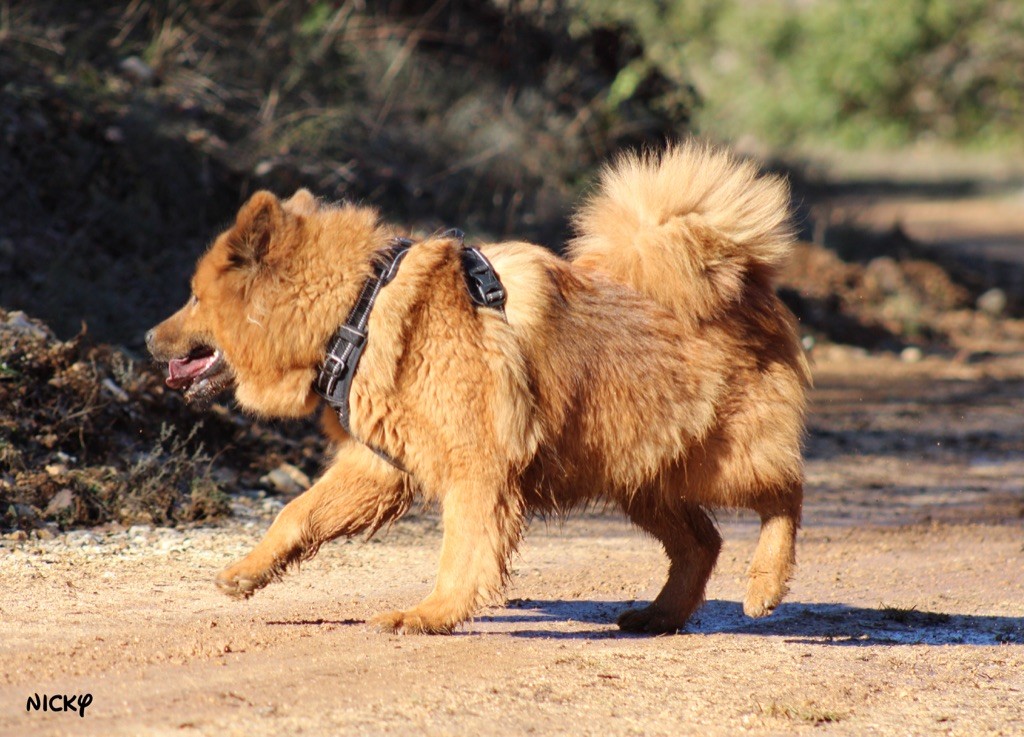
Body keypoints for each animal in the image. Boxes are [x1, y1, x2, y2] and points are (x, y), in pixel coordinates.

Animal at [148, 142, 811, 634]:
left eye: (195, 298)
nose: (149, 337)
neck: (358, 307)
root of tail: (747, 281)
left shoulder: (477, 466)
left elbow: (461, 552)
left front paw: (430, 615)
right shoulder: (379, 465)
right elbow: (296, 514)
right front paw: (248, 571)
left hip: (718, 462)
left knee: (786, 495)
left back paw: (765, 586)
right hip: (637, 472)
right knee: (701, 542)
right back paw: (661, 615)